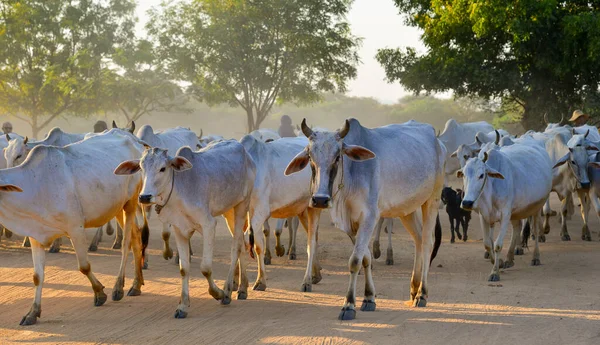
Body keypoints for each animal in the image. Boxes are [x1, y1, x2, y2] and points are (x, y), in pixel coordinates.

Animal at [1, 130, 148, 326]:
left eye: (18, 155)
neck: (34, 184)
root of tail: (133, 139)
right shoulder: (36, 236)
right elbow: (37, 276)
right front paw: (32, 313)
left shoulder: (76, 229)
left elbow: (84, 266)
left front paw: (100, 293)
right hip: (116, 208)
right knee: (137, 240)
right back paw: (136, 285)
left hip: (130, 203)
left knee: (127, 244)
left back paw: (118, 287)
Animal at [115, 140, 255, 318]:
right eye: (141, 168)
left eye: (163, 168)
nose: (145, 197)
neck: (178, 191)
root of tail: (244, 151)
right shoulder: (179, 229)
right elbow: (184, 269)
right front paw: (183, 305)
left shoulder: (209, 224)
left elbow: (205, 268)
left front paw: (218, 293)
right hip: (229, 210)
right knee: (242, 243)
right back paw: (242, 288)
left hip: (242, 205)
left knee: (236, 247)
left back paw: (228, 290)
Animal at [286, 119, 446, 320]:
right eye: (310, 157)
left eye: (337, 157)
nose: (320, 199)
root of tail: (437, 140)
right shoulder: (352, 225)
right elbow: (365, 258)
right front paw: (369, 298)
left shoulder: (369, 217)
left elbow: (355, 260)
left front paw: (349, 305)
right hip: (406, 210)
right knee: (417, 239)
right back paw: (413, 288)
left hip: (432, 199)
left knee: (426, 243)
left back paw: (421, 294)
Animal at [460, 141, 552, 280]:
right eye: (464, 174)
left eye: (481, 175)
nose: (467, 203)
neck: (492, 187)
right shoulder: (484, 215)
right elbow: (488, 243)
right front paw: (500, 262)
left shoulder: (505, 214)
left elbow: (498, 245)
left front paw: (494, 272)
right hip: (515, 212)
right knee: (517, 228)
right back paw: (509, 258)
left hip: (536, 207)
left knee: (535, 231)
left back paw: (535, 257)